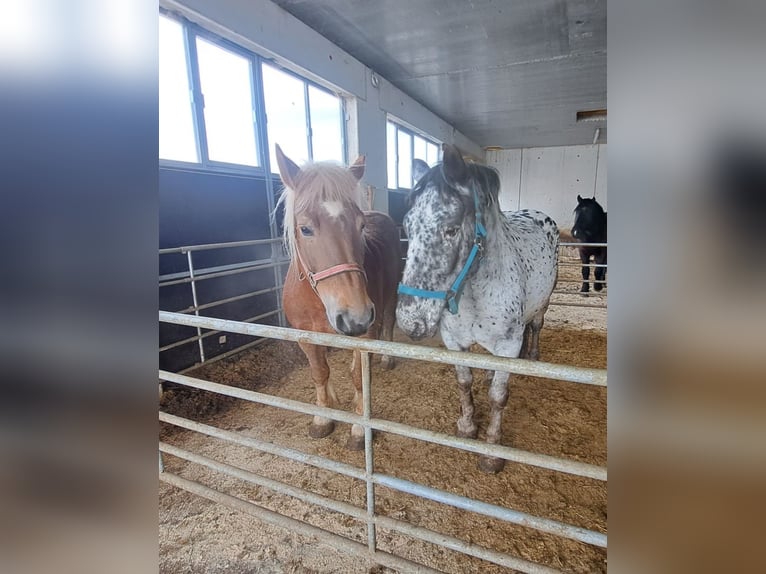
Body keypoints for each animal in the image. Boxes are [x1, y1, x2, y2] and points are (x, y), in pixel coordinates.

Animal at [274, 144, 402, 450]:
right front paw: (324, 417)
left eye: (360, 226)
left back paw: (386, 359)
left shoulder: (365, 337)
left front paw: (358, 429)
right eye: (305, 228)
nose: (356, 316)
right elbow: (320, 372)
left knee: (389, 321)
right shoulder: (306, 336)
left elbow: (359, 377)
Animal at [402, 146, 560, 474]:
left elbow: (498, 397)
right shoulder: (453, 342)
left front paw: (492, 451)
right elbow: (464, 383)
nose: (410, 321)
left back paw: (533, 356)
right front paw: (466, 426)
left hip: (543, 305)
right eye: (406, 228)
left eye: (451, 230)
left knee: (536, 327)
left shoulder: (509, 345)